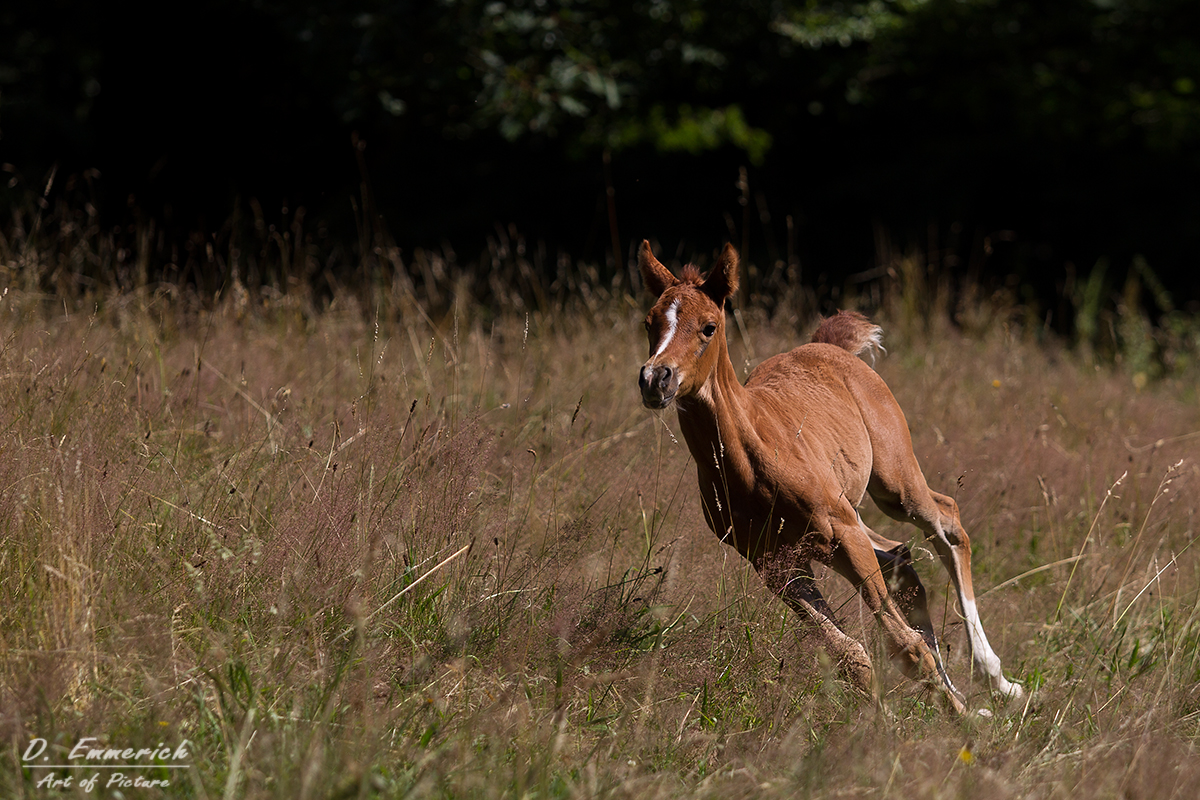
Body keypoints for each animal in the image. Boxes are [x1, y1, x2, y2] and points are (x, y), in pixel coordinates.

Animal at [638, 239, 1022, 714]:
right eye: (650, 322)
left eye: (709, 327)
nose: (656, 378)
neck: (750, 464)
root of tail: (827, 346)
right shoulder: (774, 563)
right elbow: (850, 654)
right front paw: (888, 719)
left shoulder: (843, 533)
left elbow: (906, 646)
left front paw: (963, 720)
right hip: (847, 518)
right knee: (900, 556)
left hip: (891, 485)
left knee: (947, 524)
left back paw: (996, 679)